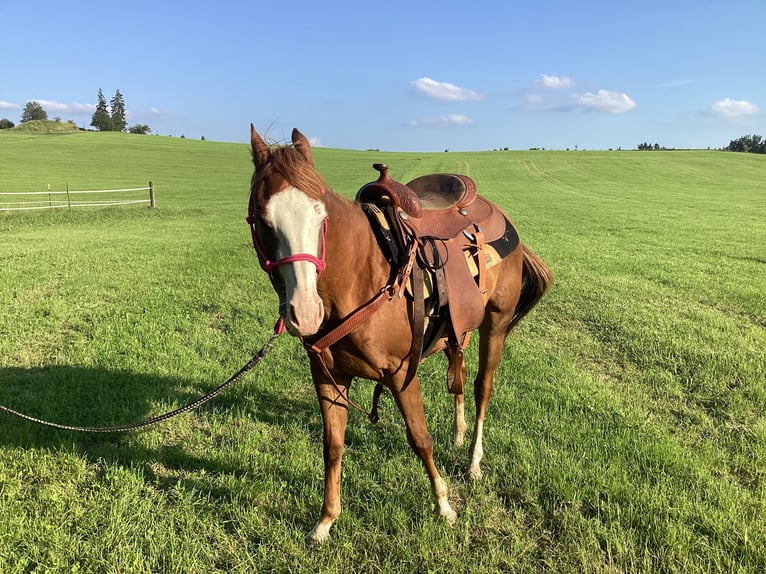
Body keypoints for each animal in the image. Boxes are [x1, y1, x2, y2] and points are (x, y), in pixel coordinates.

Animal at [249, 125, 556, 544]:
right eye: (262, 220)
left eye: (320, 215)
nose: (305, 313)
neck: (362, 277)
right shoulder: (327, 376)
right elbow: (333, 444)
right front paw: (325, 521)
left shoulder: (400, 373)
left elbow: (420, 439)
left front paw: (444, 506)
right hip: (457, 330)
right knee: (459, 375)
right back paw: (459, 434)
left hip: (495, 322)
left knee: (482, 386)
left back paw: (474, 461)